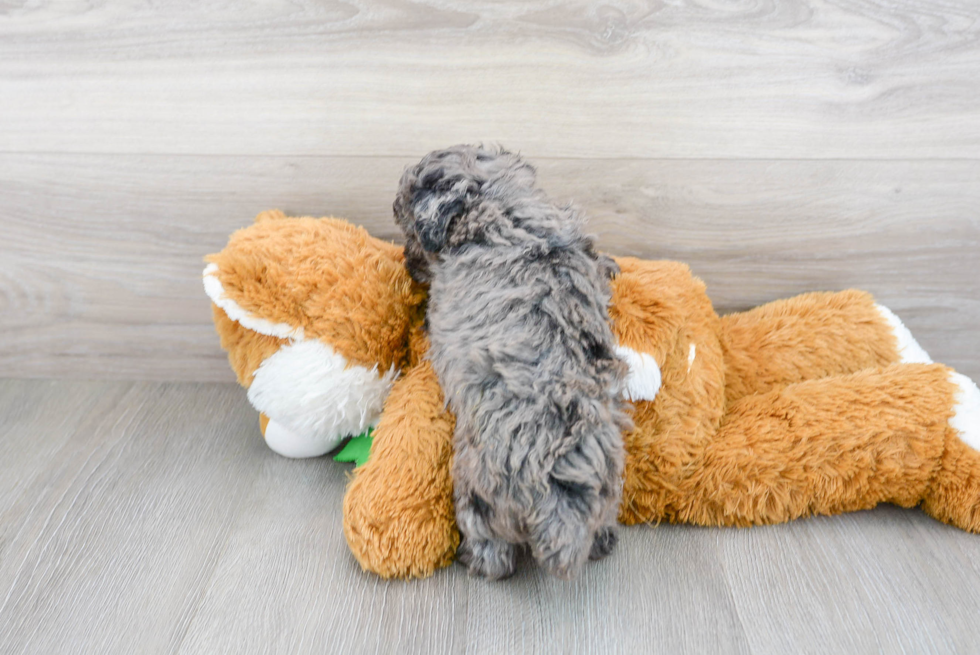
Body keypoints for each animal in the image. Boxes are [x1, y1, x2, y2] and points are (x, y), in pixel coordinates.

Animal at [390, 144, 628, 580]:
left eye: (409, 230)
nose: (406, 263)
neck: (497, 205)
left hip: (475, 488)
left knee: (492, 550)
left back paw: (474, 558)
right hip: (606, 478)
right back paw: (603, 539)